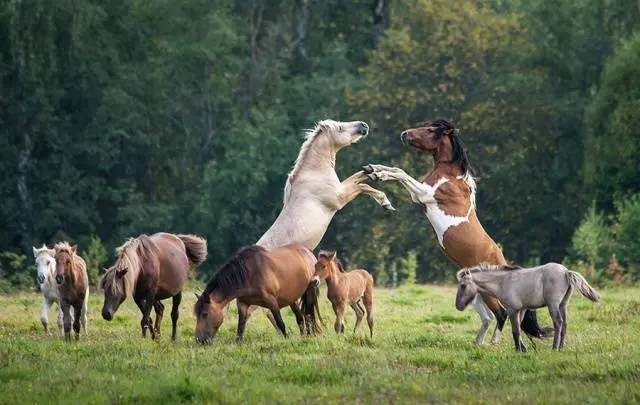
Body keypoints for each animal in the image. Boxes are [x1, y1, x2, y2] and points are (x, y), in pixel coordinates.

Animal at [192, 243, 322, 344]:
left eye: (205, 314)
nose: (199, 340)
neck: (250, 273)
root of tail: (309, 253)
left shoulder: (271, 301)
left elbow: (280, 323)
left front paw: (286, 339)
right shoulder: (242, 304)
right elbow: (240, 327)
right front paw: (238, 344)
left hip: (310, 292)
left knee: (308, 316)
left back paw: (308, 336)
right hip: (292, 299)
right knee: (300, 317)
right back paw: (303, 337)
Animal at [362, 118, 548, 342]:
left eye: (430, 129)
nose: (404, 134)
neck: (450, 176)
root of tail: (501, 261)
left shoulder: (423, 193)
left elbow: (401, 173)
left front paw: (378, 173)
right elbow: (396, 171)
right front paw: (374, 170)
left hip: (489, 295)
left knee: (501, 313)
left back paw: (494, 343)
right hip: (475, 293)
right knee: (488, 317)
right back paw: (477, 344)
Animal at [456, 262, 600, 350]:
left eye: (463, 286)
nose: (458, 306)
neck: (504, 282)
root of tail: (566, 271)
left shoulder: (512, 310)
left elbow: (515, 330)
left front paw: (519, 350)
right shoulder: (521, 309)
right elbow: (518, 329)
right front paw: (523, 349)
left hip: (553, 305)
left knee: (558, 323)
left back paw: (554, 347)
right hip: (563, 304)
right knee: (564, 324)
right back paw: (561, 347)